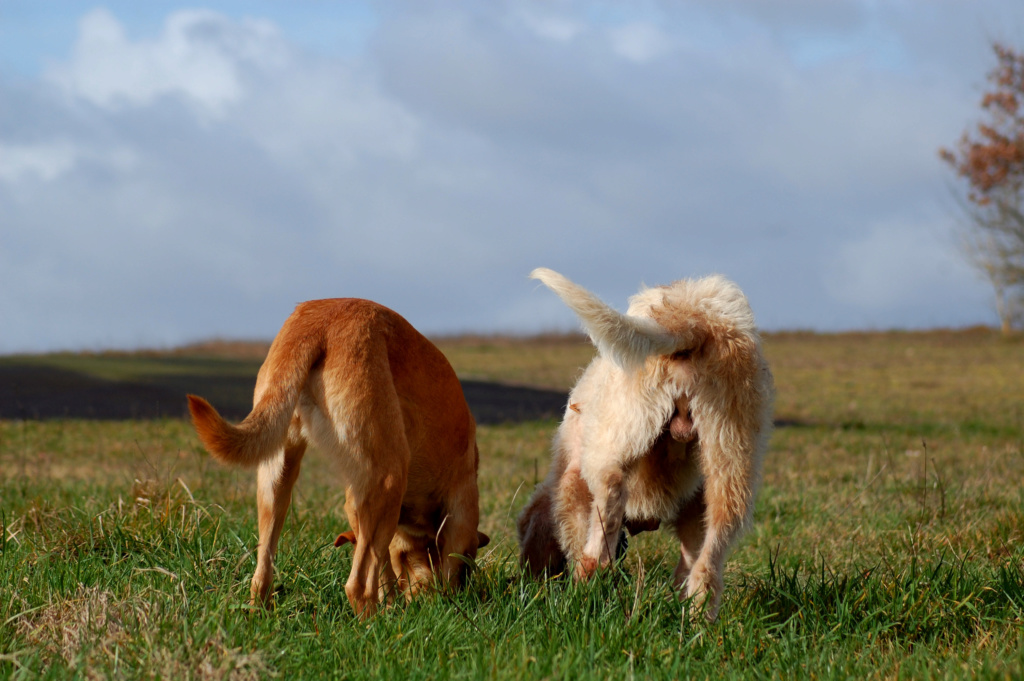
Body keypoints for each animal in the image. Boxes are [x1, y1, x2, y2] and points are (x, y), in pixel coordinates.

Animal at [187, 296, 487, 614]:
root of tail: (319, 320)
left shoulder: (359, 509)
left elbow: (386, 572)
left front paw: (397, 603)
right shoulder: (460, 519)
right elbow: (444, 568)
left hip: (277, 478)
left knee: (262, 573)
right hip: (389, 479)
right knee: (358, 587)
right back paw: (376, 622)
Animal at [516, 268, 770, 618]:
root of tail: (691, 320)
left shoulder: (572, 483)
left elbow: (576, 526)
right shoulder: (694, 502)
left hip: (617, 435)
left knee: (609, 497)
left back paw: (589, 578)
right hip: (731, 455)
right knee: (712, 551)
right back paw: (696, 615)